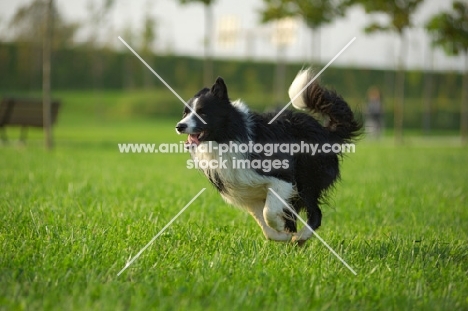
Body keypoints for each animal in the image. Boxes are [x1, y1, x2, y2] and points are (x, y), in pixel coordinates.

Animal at [174, 69, 360, 245]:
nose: (179, 126)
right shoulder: (250, 194)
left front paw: (280, 227)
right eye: (185, 113)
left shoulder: (283, 179)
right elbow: (266, 229)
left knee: (316, 213)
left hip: (306, 178)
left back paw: (301, 237)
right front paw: (283, 235)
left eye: (202, 113)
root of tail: (324, 130)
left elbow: (268, 213)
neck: (228, 137)